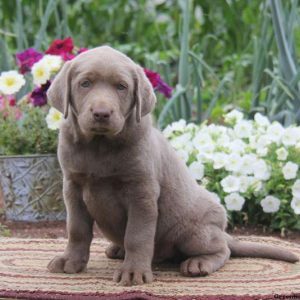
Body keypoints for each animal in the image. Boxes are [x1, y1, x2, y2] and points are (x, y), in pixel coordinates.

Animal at [46, 46, 298, 286]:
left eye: (121, 87)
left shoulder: (142, 193)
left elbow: (137, 235)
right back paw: (119, 250)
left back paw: (199, 263)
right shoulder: (73, 187)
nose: (101, 113)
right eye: (85, 83)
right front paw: (70, 262)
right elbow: (77, 230)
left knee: (222, 250)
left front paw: (133, 272)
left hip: (193, 231)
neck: (99, 146)